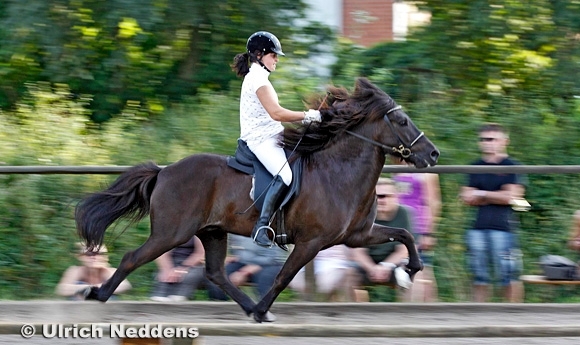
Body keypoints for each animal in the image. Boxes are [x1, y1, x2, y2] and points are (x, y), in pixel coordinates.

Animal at [76, 76, 440, 322]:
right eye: (403, 121)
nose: (433, 154)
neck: (339, 172)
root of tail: (164, 172)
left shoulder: (356, 235)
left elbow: (404, 234)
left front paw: (409, 269)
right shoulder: (311, 242)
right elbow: (283, 277)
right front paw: (265, 308)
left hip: (212, 232)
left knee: (215, 273)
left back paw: (249, 306)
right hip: (171, 233)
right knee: (132, 258)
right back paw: (97, 293)